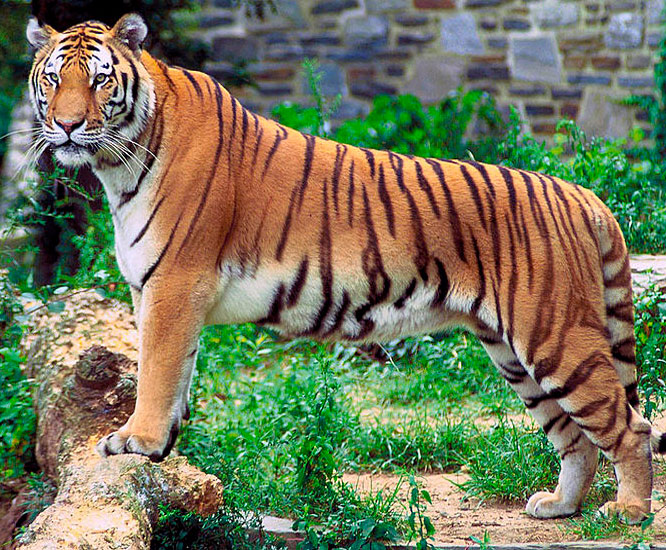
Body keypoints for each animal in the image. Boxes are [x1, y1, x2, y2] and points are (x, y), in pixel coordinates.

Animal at [26, 13, 664, 524]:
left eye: (100, 79)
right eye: (53, 79)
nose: (67, 126)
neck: (119, 165)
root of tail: (582, 194)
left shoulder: (175, 284)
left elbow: (156, 372)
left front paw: (136, 440)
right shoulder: (155, 291)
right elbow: (173, 373)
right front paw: (162, 450)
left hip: (555, 337)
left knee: (631, 427)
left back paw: (628, 512)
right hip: (514, 353)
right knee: (575, 437)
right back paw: (559, 506)